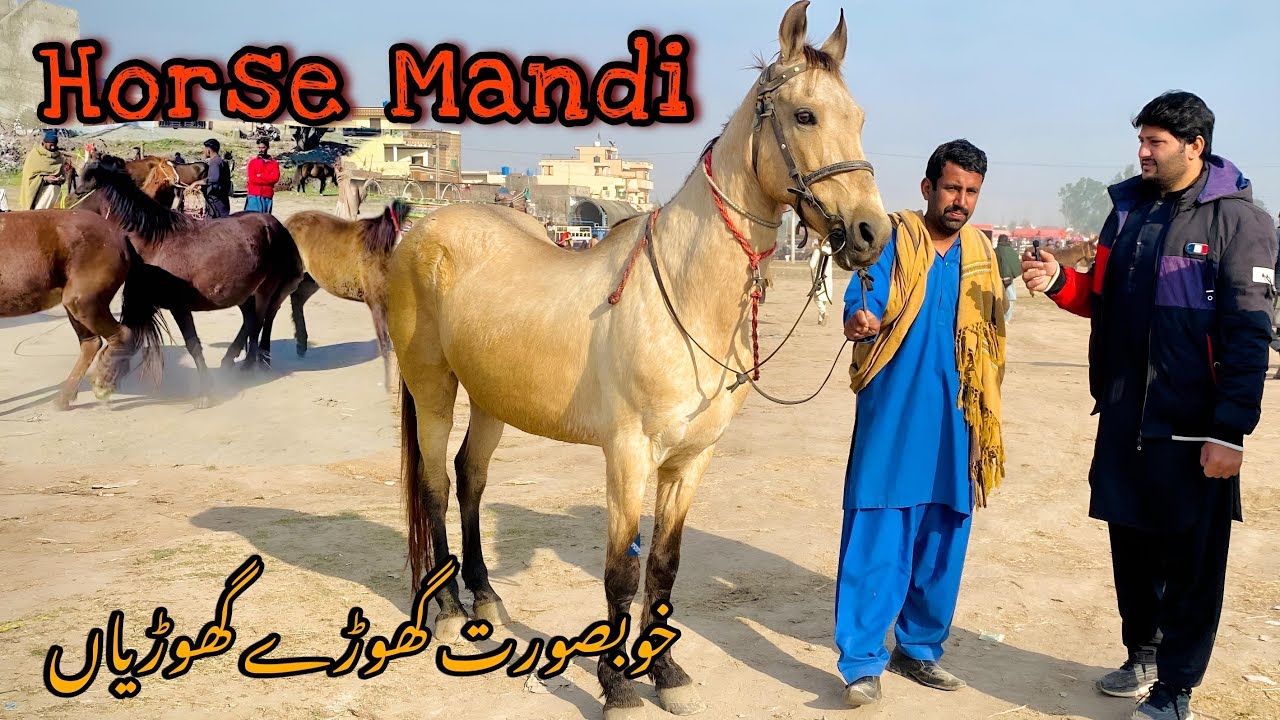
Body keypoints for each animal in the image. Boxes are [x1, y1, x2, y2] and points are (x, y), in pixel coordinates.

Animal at [0, 209, 167, 409]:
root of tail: (120, 236)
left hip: (82, 302)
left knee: (121, 335)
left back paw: (102, 384)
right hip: (75, 304)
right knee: (91, 344)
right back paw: (64, 399)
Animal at [66, 156, 305, 408]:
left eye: (85, 187)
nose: (66, 211)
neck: (154, 244)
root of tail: (274, 224)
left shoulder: (176, 305)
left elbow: (192, 344)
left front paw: (205, 392)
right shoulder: (141, 301)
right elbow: (127, 335)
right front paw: (105, 381)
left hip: (264, 289)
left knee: (259, 321)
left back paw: (250, 365)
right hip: (245, 292)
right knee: (251, 321)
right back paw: (237, 359)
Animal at [285, 199, 412, 389]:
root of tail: (289, 221)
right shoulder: (377, 303)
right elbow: (386, 343)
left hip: (311, 280)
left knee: (298, 299)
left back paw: (301, 344)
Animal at [385, 3, 891, 718]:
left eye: (860, 117)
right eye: (805, 115)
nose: (873, 234)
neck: (681, 293)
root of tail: (423, 229)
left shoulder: (690, 460)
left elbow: (664, 565)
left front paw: (667, 674)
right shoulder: (627, 455)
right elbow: (620, 572)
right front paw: (617, 683)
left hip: (491, 398)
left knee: (469, 477)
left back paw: (485, 598)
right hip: (434, 387)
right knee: (433, 481)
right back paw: (450, 612)